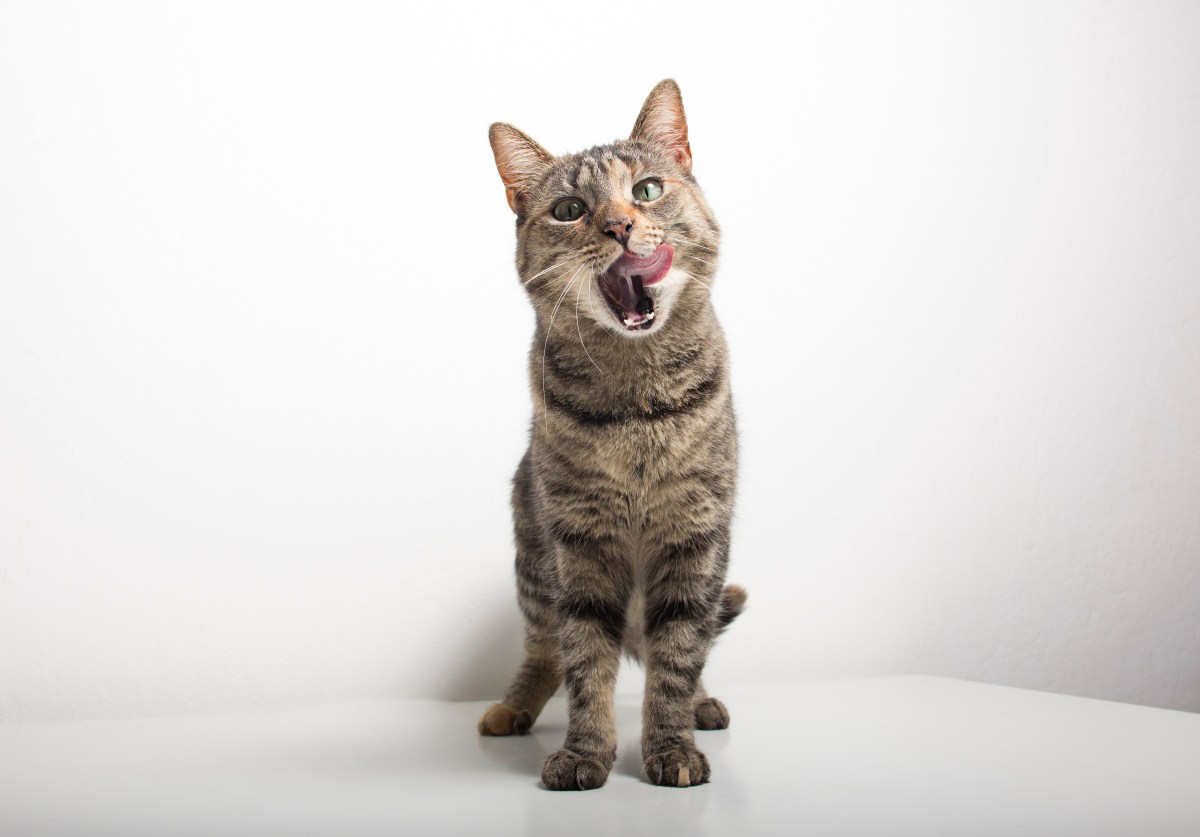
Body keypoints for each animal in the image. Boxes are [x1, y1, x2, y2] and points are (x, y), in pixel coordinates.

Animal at [475, 79, 739, 786]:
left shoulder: (695, 535)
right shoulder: (579, 543)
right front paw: (586, 752)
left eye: (645, 190)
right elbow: (585, 661)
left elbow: (677, 656)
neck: (635, 406)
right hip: (534, 562)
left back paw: (702, 704)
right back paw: (511, 708)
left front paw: (670, 745)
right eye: (569, 209)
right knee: (544, 649)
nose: (619, 225)